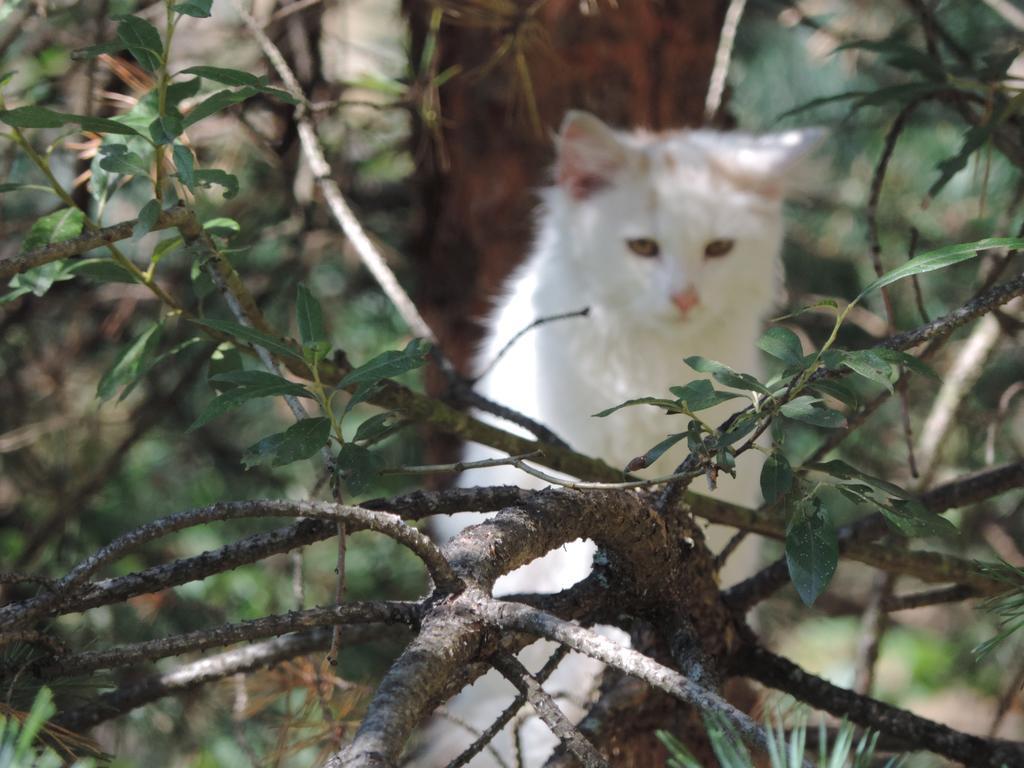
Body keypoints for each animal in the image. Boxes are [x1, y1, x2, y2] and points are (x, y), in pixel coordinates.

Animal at [411, 111, 819, 765]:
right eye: (643, 248)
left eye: (719, 249)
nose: (685, 296)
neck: (657, 362)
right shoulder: (581, 473)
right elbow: (595, 565)